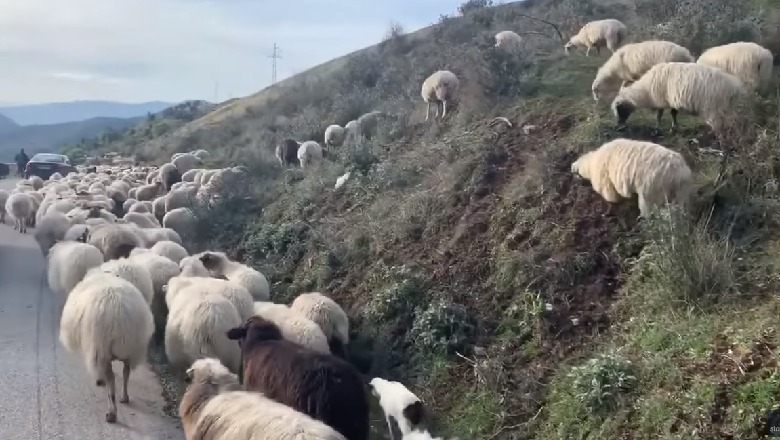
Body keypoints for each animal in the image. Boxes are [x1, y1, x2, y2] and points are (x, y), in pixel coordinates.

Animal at [58, 268, 153, 422]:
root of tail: (118, 310)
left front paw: (99, 379)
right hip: (131, 347)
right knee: (126, 372)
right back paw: (124, 397)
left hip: (102, 349)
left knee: (111, 380)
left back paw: (112, 411)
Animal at [568, 136, 696, 215]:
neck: (590, 165)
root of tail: (678, 172)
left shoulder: (606, 185)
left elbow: (612, 197)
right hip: (681, 193)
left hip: (651, 193)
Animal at [608, 61, 748, 132]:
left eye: (619, 109)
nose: (618, 125)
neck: (645, 90)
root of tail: (734, 87)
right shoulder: (672, 100)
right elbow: (673, 114)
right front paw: (674, 127)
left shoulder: (661, 100)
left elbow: (659, 115)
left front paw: (658, 128)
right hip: (727, 107)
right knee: (731, 122)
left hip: (714, 107)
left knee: (719, 125)